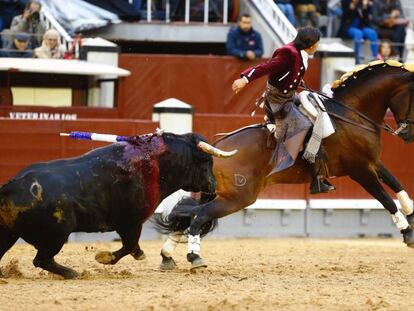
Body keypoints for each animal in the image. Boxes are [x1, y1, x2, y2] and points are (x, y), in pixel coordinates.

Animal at [0, 133, 236, 280]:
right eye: (207, 161)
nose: (214, 186)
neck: (156, 164)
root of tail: (12, 186)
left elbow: (131, 246)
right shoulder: (131, 222)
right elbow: (130, 246)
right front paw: (106, 257)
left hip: (8, 233)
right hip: (57, 235)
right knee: (41, 259)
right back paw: (72, 273)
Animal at [154, 60, 414, 270]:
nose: (408, 135)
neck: (350, 114)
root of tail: (216, 148)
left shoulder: (371, 162)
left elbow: (395, 182)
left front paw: (411, 214)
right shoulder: (359, 170)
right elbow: (385, 199)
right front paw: (407, 232)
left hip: (221, 193)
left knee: (189, 215)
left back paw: (168, 256)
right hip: (239, 197)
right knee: (198, 215)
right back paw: (194, 258)